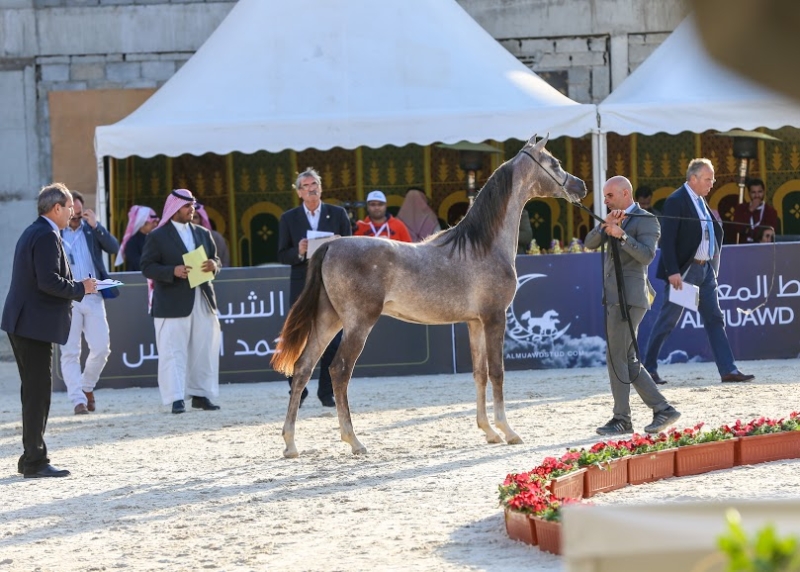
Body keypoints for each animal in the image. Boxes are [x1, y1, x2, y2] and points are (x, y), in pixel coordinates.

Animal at [274, 133, 588, 456]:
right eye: (555, 163)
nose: (581, 186)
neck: (483, 246)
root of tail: (330, 245)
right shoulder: (494, 318)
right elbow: (497, 372)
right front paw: (508, 431)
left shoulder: (475, 322)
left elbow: (480, 373)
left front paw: (489, 431)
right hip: (358, 324)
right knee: (339, 371)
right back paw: (354, 441)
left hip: (329, 320)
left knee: (302, 369)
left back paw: (290, 444)